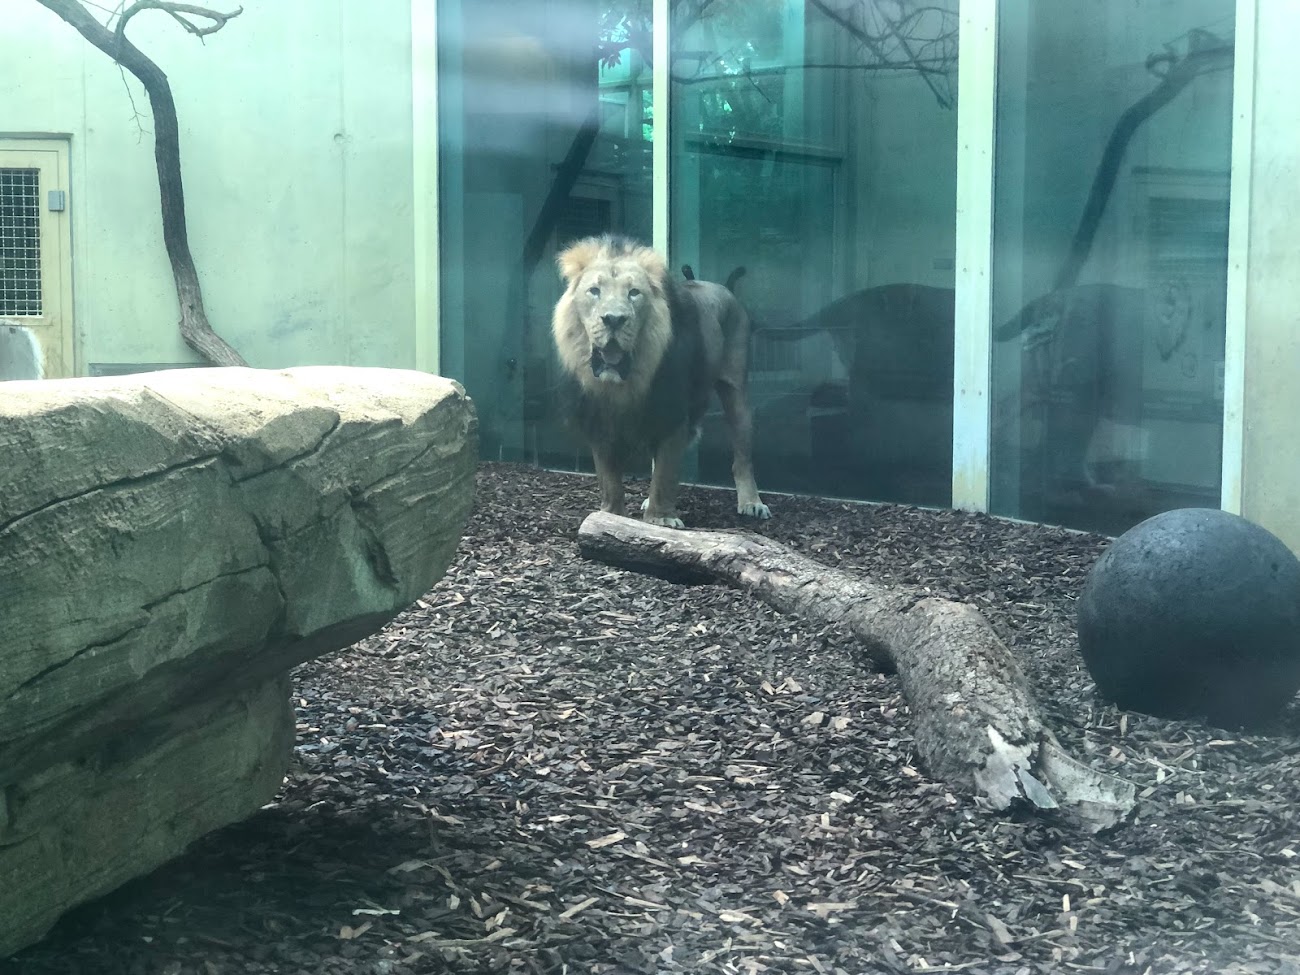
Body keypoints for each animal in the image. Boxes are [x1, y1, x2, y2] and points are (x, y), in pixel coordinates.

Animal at [551, 234, 770, 528]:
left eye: (634, 293)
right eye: (594, 291)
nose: (614, 320)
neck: (624, 383)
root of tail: (723, 288)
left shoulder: (672, 412)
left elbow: (665, 471)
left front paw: (661, 519)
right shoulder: (599, 419)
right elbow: (609, 480)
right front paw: (609, 516)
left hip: (736, 390)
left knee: (742, 457)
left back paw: (751, 502)